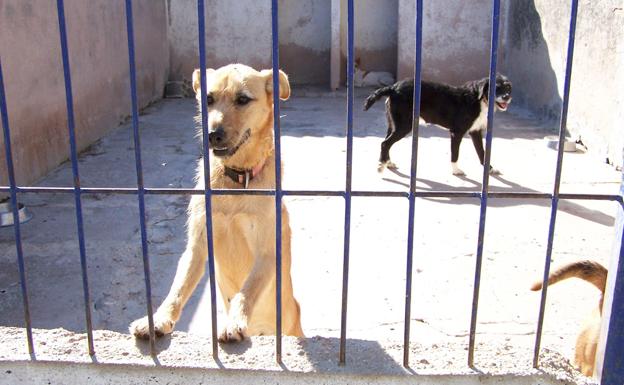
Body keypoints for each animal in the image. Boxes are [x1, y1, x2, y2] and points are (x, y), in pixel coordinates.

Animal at [132, 63, 304, 342]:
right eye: (208, 99)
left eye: (242, 99)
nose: (212, 135)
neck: (237, 181)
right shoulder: (197, 245)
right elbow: (177, 289)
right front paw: (157, 319)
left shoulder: (268, 251)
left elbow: (246, 291)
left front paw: (234, 322)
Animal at [366, 74, 512, 176]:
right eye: (496, 88)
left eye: (508, 88)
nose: (507, 97)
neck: (480, 99)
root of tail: (393, 87)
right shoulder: (456, 132)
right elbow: (455, 154)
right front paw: (456, 170)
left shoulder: (475, 132)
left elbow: (482, 153)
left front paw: (490, 169)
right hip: (404, 126)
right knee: (385, 143)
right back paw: (382, 165)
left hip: (394, 125)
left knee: (386, 142)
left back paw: (387, 162)